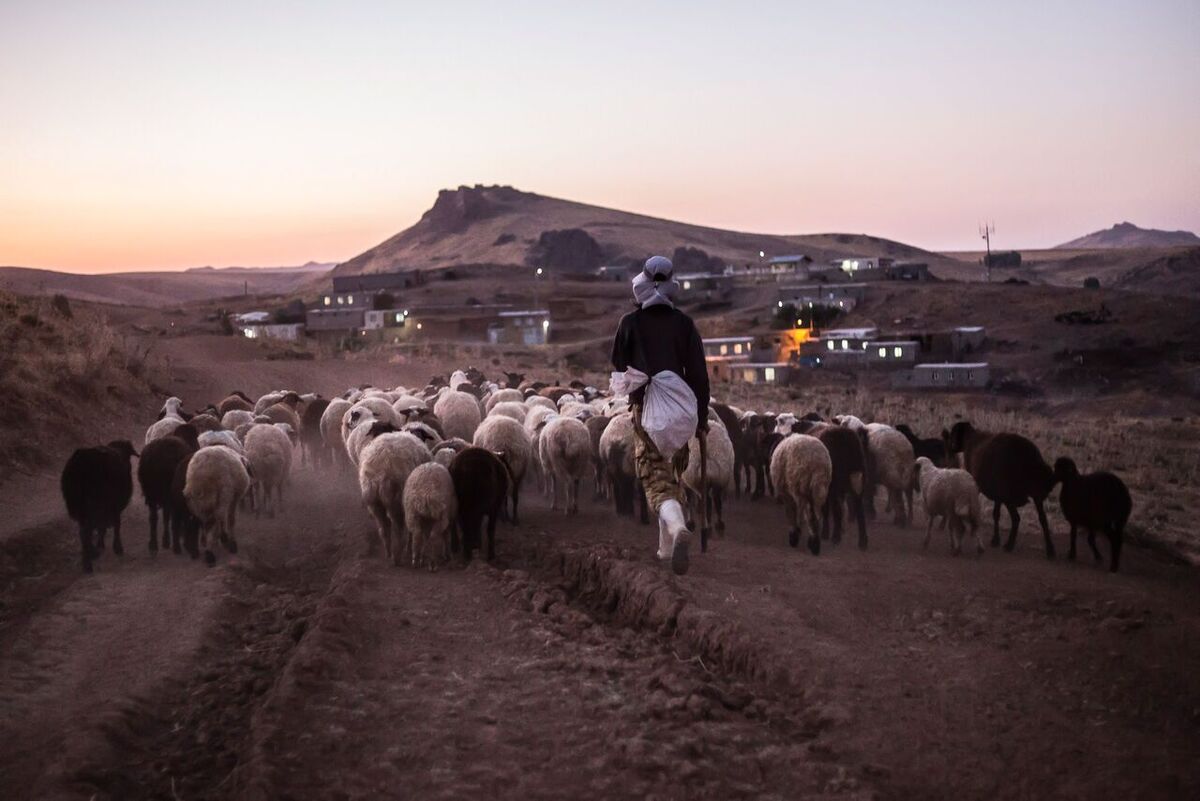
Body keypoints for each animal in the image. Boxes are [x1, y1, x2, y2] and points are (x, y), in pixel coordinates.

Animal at [59, 441, 138, 573]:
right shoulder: (113, 506)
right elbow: (115, 525)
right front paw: (117, 547)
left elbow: (102, 527)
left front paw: (100, 545)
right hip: (94, 504)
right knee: (86, 531)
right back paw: (88, 564)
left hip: (80, 506)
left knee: (83, 532)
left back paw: (91, 554)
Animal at [137, 422, 198, 553]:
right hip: (166, 492)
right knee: (167, 516)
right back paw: (169, 542)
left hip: (151, 492)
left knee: (154, 517)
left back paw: (153, 545)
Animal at [355, 431, 432, 563]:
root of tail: (379, 473)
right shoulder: (409, 502)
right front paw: (409, 548)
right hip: (395, 501)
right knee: (398, 528)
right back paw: (398, 556)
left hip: (375, 504)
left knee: (384, 528)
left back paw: (389, 553)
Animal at [681, 419, 734, 551]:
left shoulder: (685, 482)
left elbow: (689, 501)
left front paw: (690, 524)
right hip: (721, 478)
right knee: (717, 502)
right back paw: (718, 527)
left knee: (708, 502)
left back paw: (709, 528)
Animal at [940, 424, 1056, 556]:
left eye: (953, 433)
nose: (948, 446)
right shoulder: (999, 495)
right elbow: (996, 514)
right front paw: (995, 540)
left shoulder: (993, 492)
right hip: (1033, 496)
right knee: (1042, 519)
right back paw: (1050, 550)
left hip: (1016, 497)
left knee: (1017, 518)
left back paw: (1009, 545)